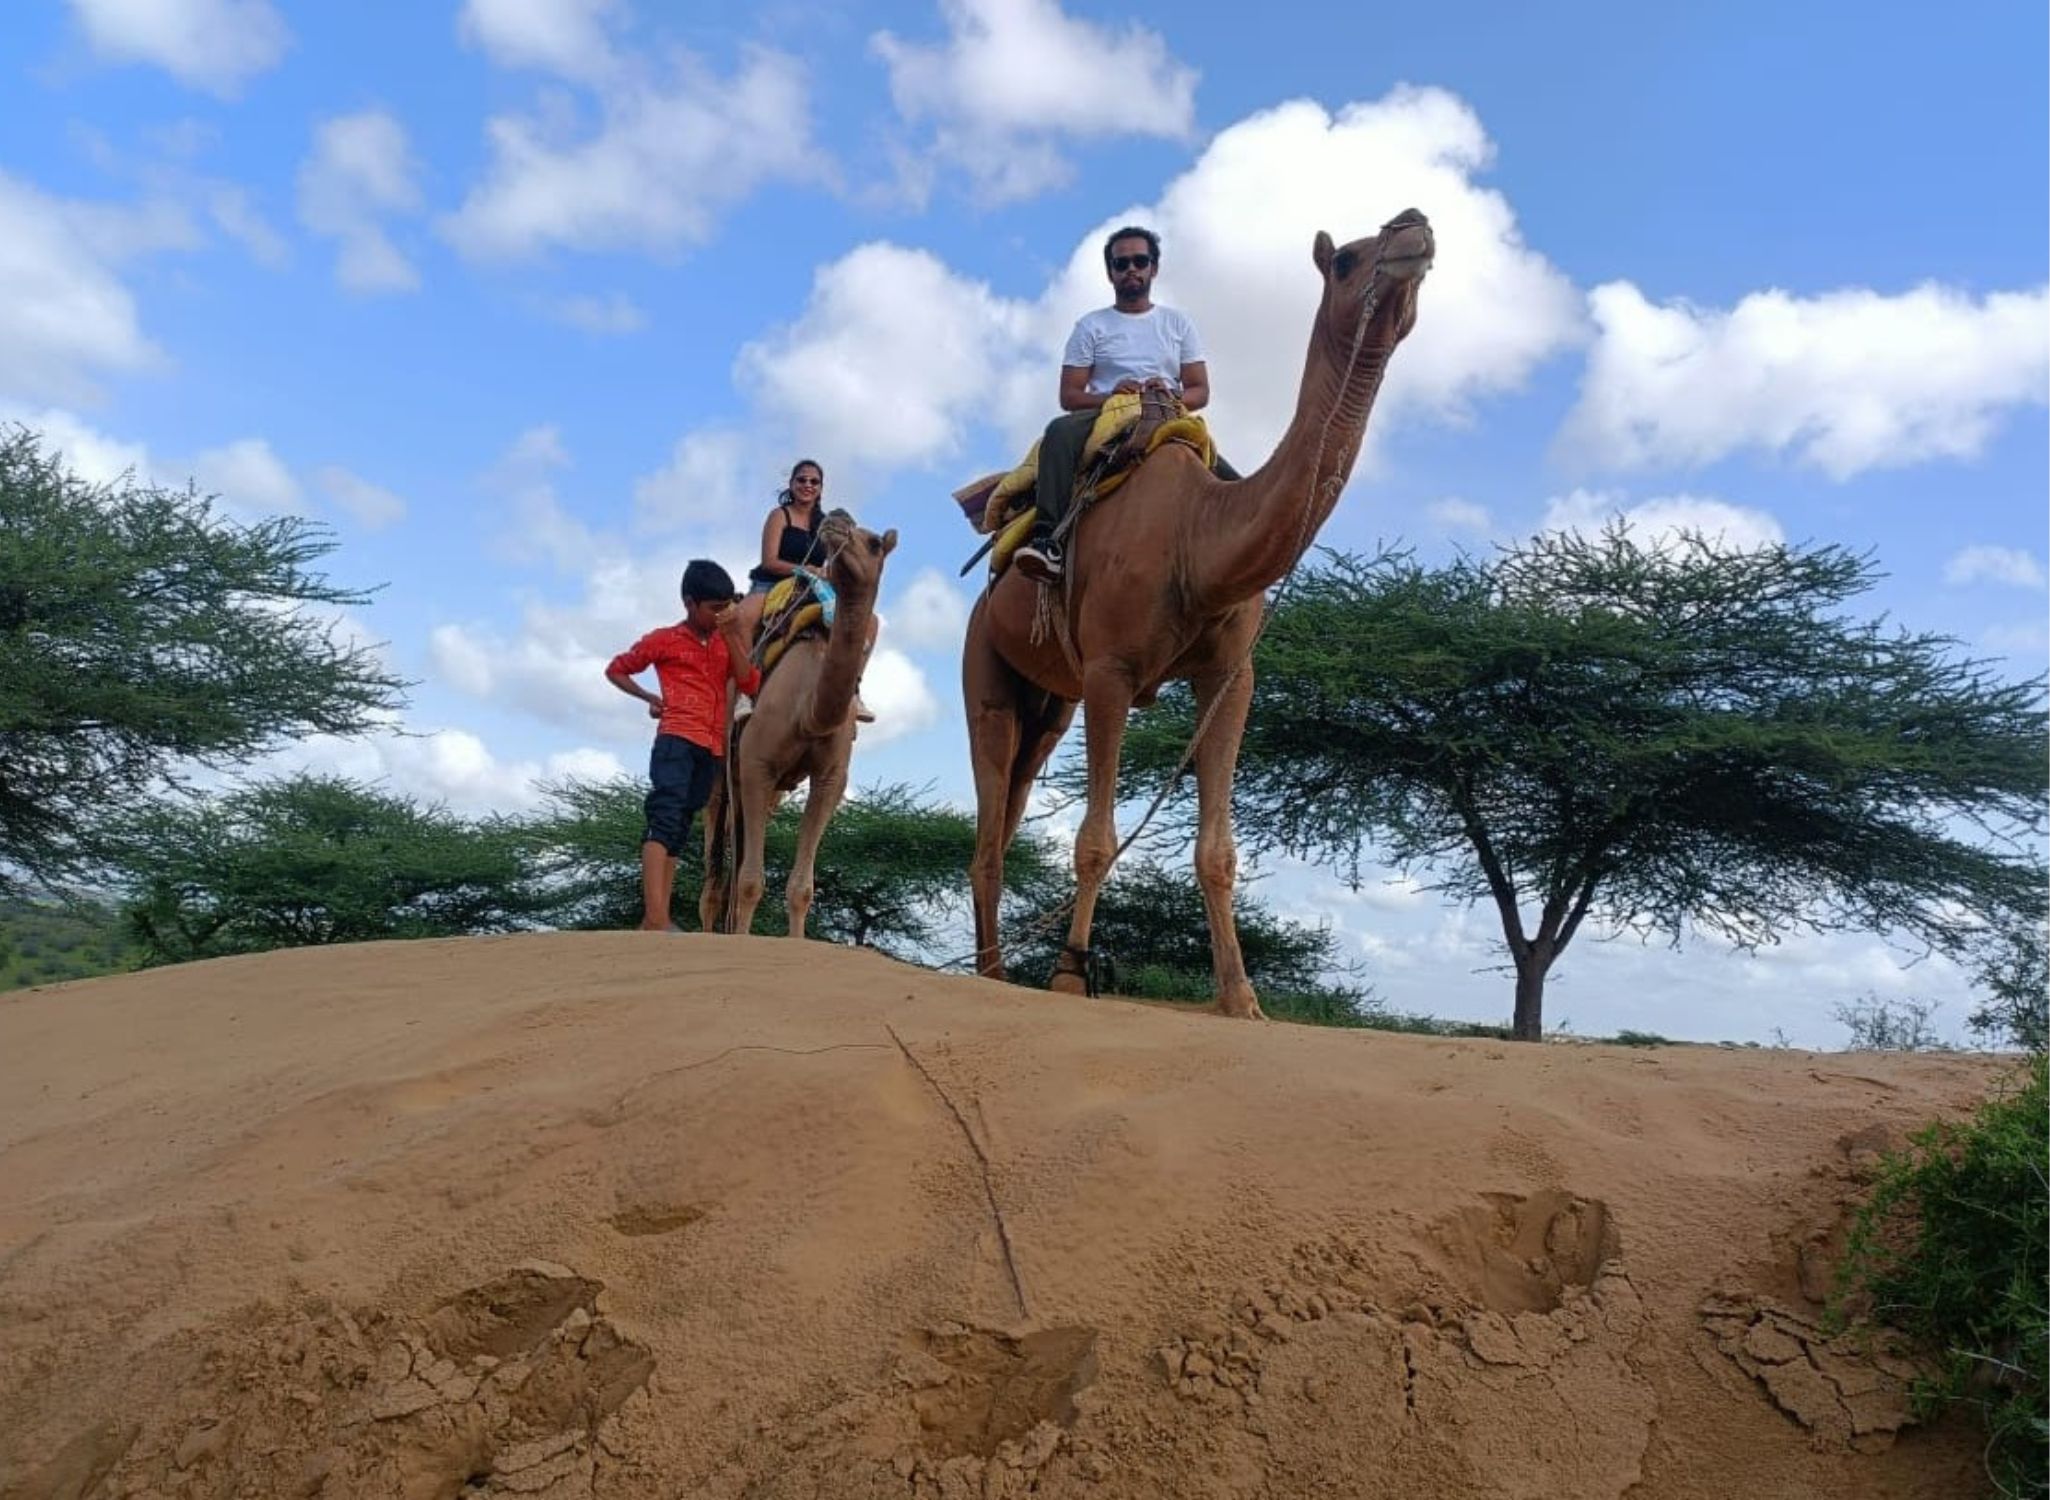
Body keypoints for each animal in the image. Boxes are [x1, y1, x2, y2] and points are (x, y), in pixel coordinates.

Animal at [705, 516, 897, 938]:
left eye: (875, 543)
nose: (837, 518)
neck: (809, 711)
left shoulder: (831, 777)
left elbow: (801, 889)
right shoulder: (757, 763)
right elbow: (750, 882)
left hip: (767, 791)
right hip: (720, 772)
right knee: (713, 877)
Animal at [967, 204, 1435, 1012]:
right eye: (1346, 258)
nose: (1415, 224)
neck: (1198, 541)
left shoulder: (1230, 677)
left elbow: (1218, 850)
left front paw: (1242, 998)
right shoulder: (1111, 671)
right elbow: (1095, 838)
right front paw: (1069, 974)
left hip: (1048, 704)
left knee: (1010, 805)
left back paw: (993, 969)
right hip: (985, 665)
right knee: (989, 816)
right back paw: (993, 974)